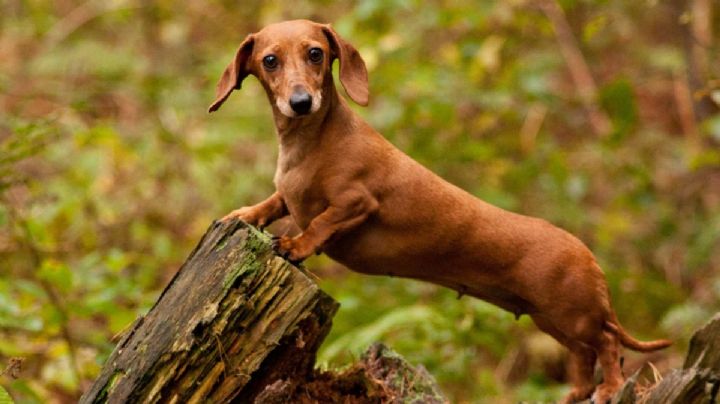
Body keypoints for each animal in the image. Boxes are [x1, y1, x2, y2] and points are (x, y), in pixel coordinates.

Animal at [207, 19, 668, 404]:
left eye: (316, 53)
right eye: (270, 60)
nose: (301, 101)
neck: (310, 142)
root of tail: (589, 256)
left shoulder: (356, 203)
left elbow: (319, 223)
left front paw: (296, 246)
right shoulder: (289, 195)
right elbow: (274, 203)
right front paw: (243, 215)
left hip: (573, 316)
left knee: (608, 346)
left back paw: (608, 388)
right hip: (551, 320)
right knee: (584, 355)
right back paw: (577, 392)